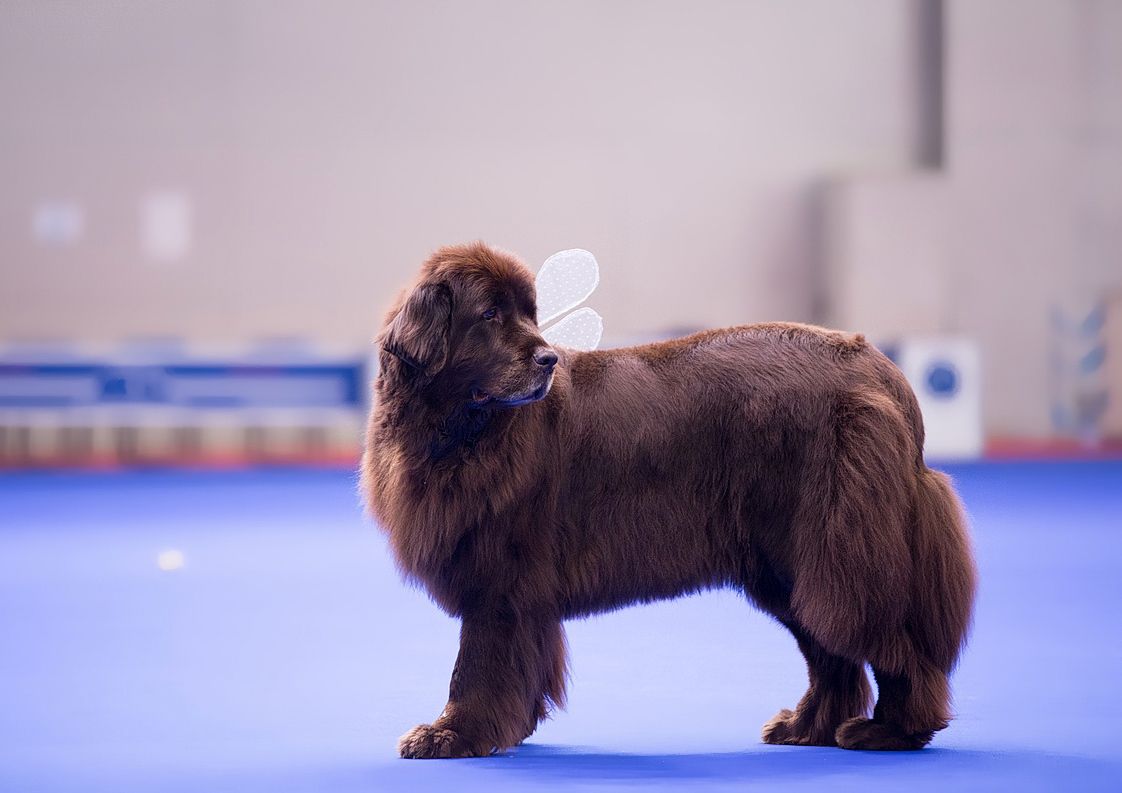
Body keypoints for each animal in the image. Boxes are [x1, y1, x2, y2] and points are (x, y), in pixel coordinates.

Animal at [363, 240, 978, 758]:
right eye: (489, 316)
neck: (461, 427)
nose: (547, 360)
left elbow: (476, 662)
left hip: (839, 552)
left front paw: (452, 734)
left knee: (892, 640)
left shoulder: (500, 575)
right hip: (791, 565)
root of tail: (881, 370)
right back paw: (807, 727)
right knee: (830, 654)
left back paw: (891, 730)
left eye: (529, 315)